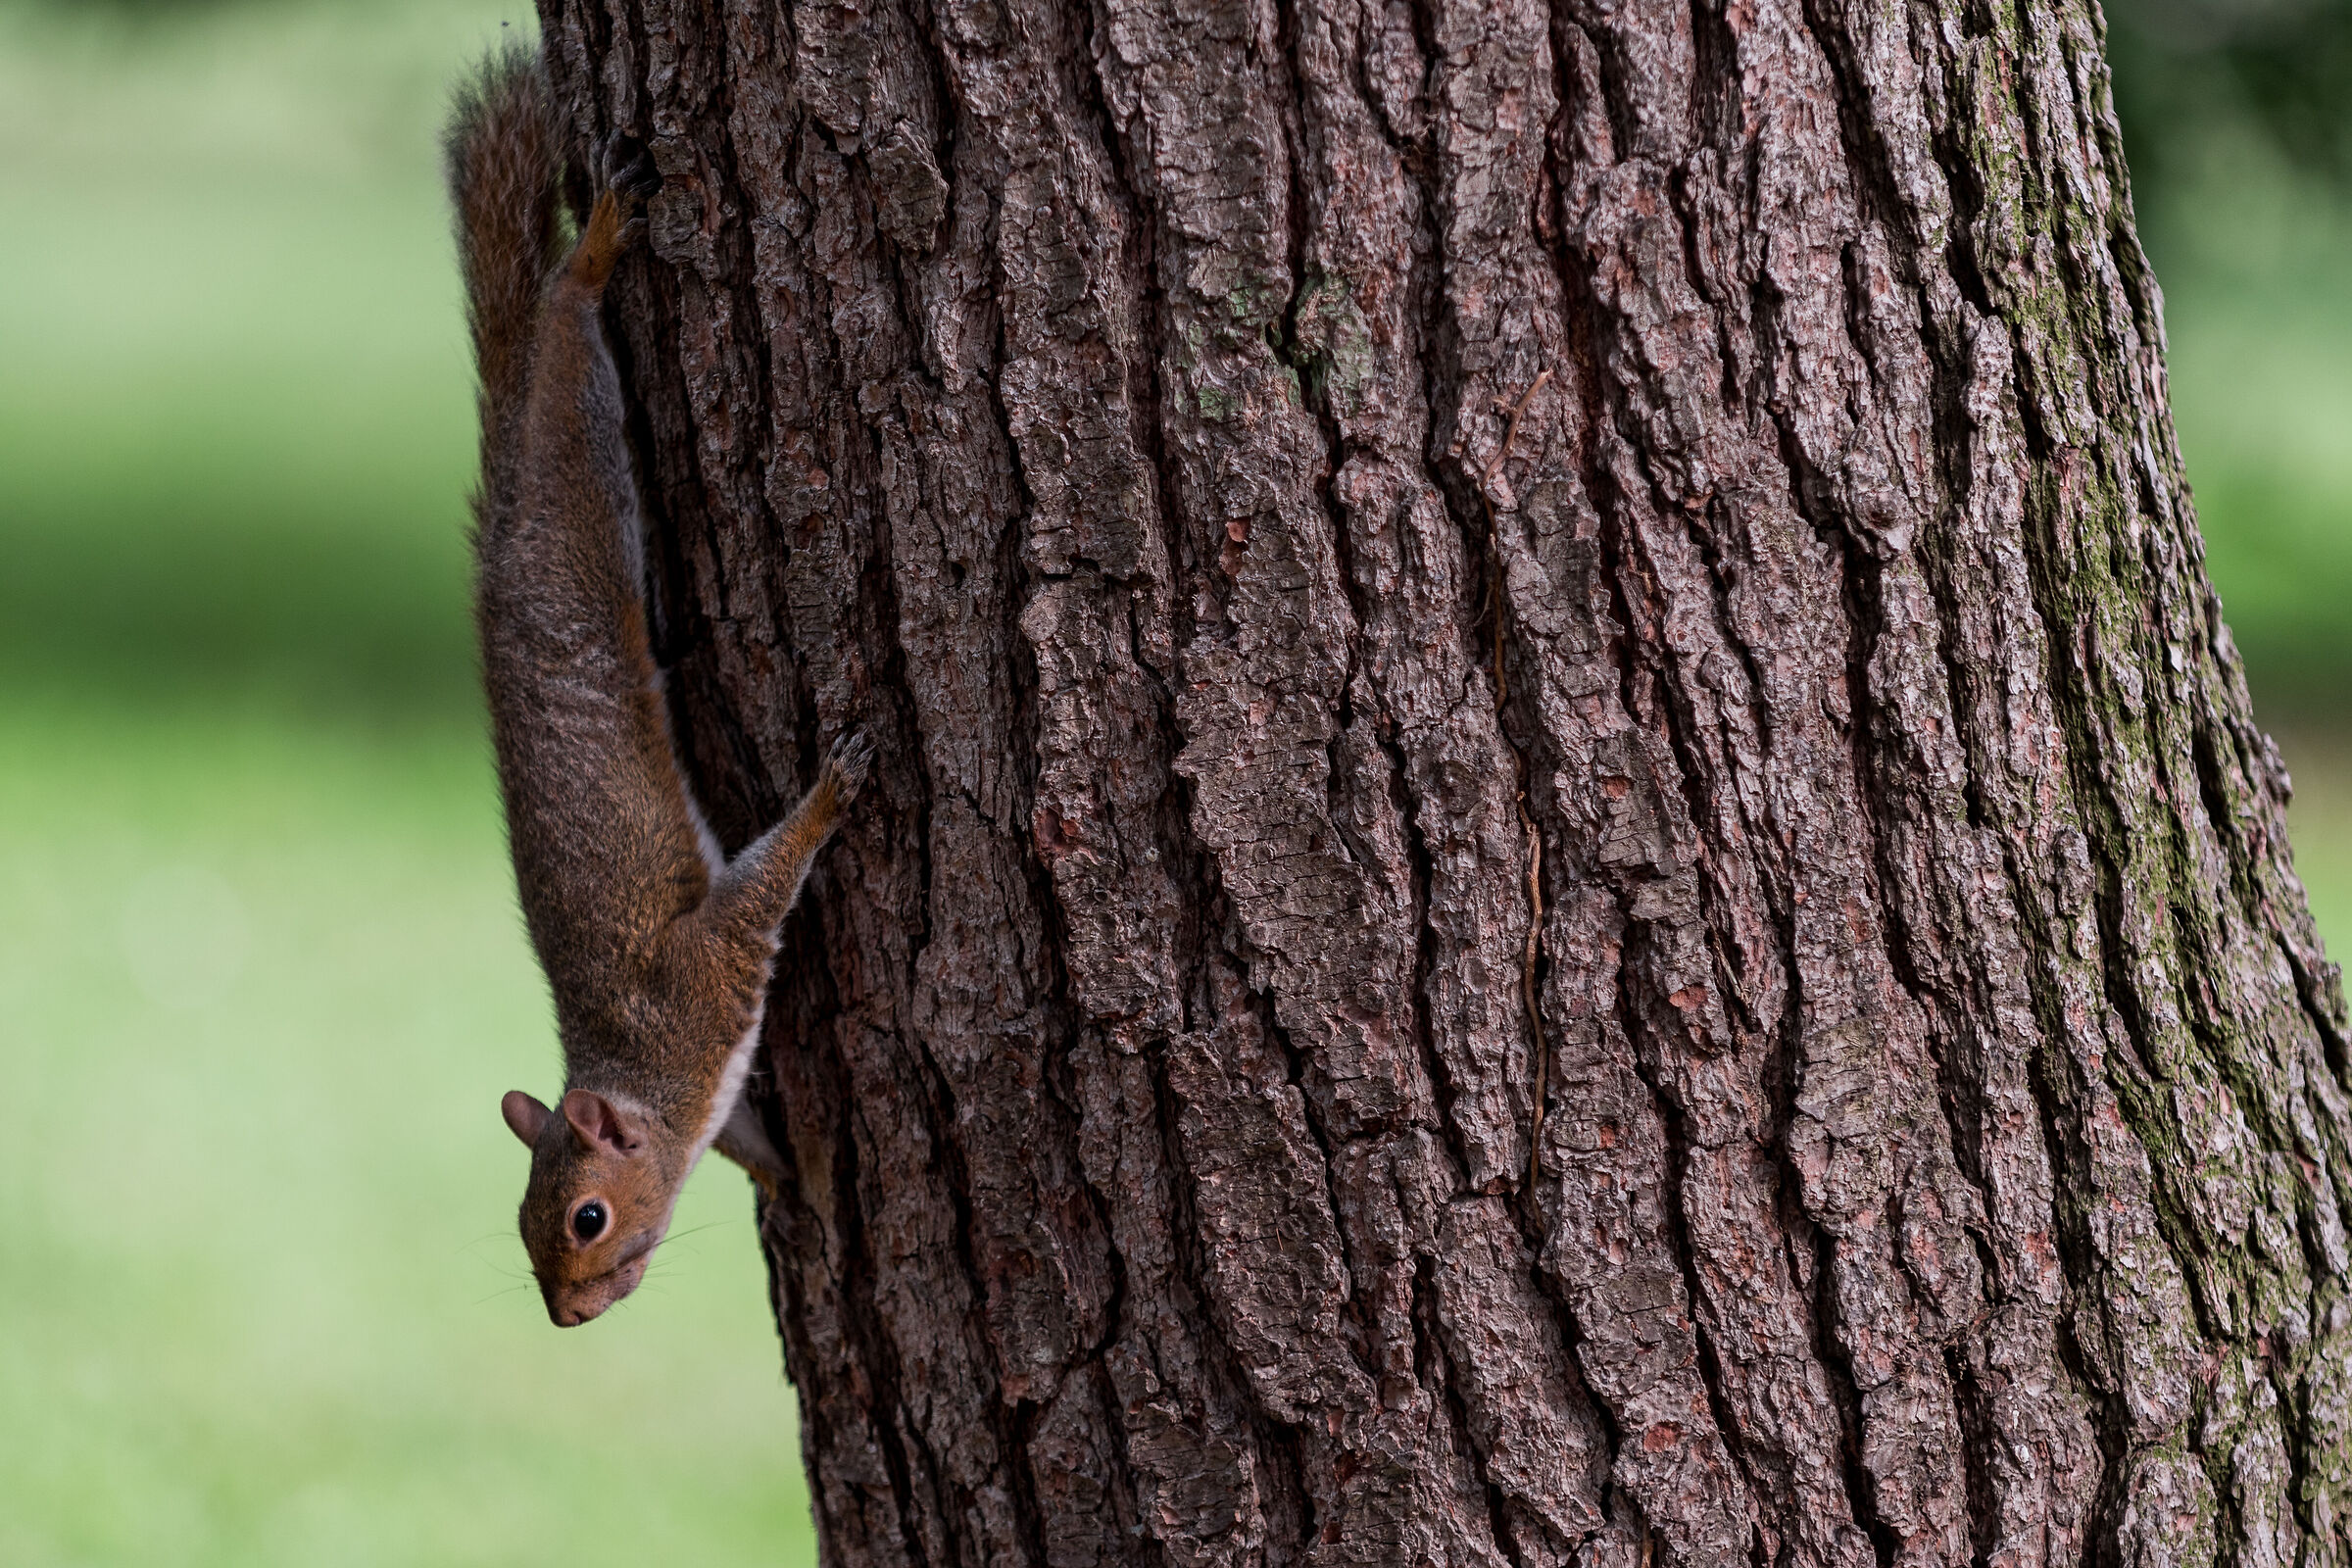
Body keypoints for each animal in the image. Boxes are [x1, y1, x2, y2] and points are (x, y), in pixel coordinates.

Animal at [445, 45, 872, 1328]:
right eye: (525, 1230)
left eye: (586, 1217)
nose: (568, 1317)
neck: (639, 1071)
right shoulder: (708, 1075)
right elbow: (755, 1142)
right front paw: (808, 1184)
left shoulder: (707, 978)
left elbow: (758, 892)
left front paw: (827, 798)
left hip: (577, 483)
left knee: (564, 329)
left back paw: (593, 254)